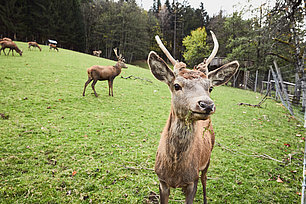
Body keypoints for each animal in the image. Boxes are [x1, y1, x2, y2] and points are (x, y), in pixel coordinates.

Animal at [148, 30, 239, 204]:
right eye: (176, 85)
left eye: (210, 87)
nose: (207, 104)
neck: (175, 172)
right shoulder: (161, 180)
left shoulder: (192, 181)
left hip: (207, 159)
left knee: (205, 180)